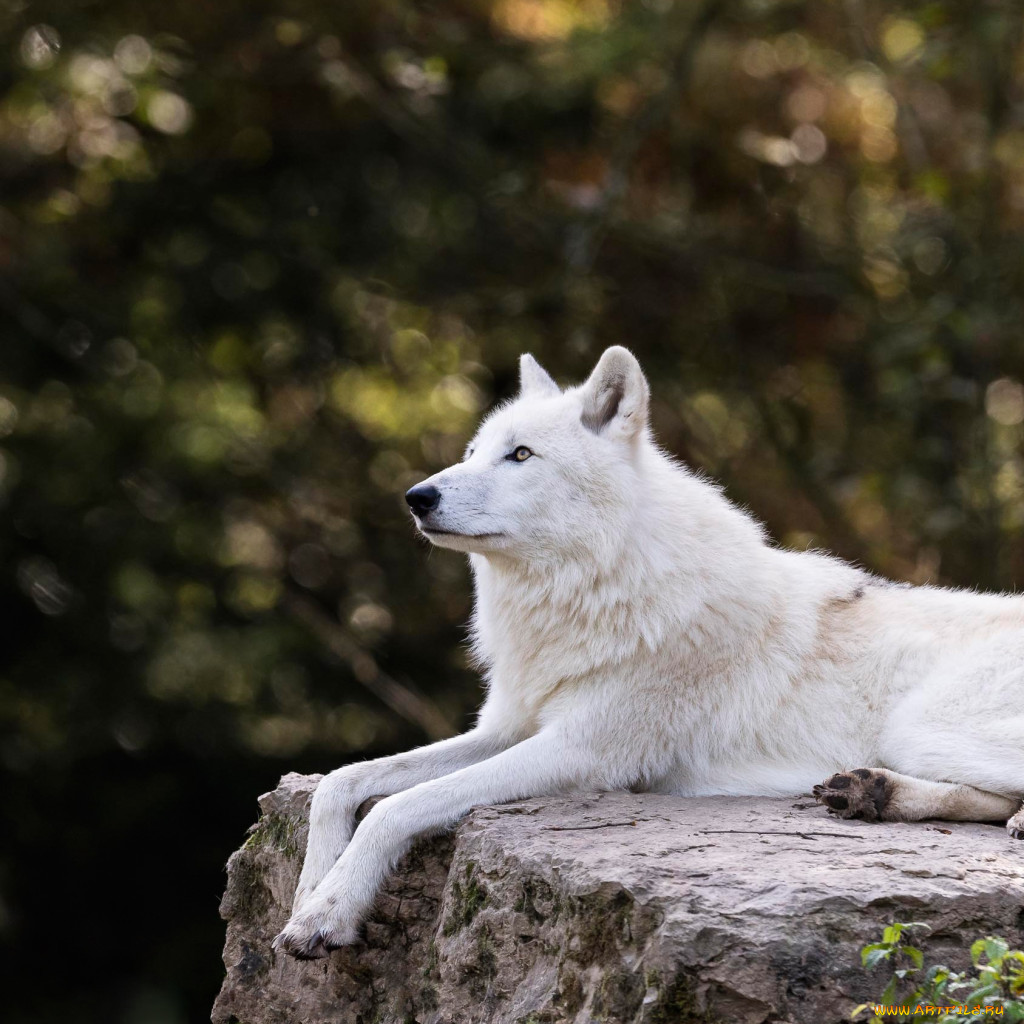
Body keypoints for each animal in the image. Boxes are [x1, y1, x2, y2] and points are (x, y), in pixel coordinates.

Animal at [274, 346, 1024, 958]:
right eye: (476, 451)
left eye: (522, 456)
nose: (416, 496)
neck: (590, 592)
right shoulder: (509, 729)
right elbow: (342, 782)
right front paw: (309, 891)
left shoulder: (582, 751)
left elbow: (399, 806)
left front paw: (328, 913)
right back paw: (874, 793)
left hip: (919, 726)